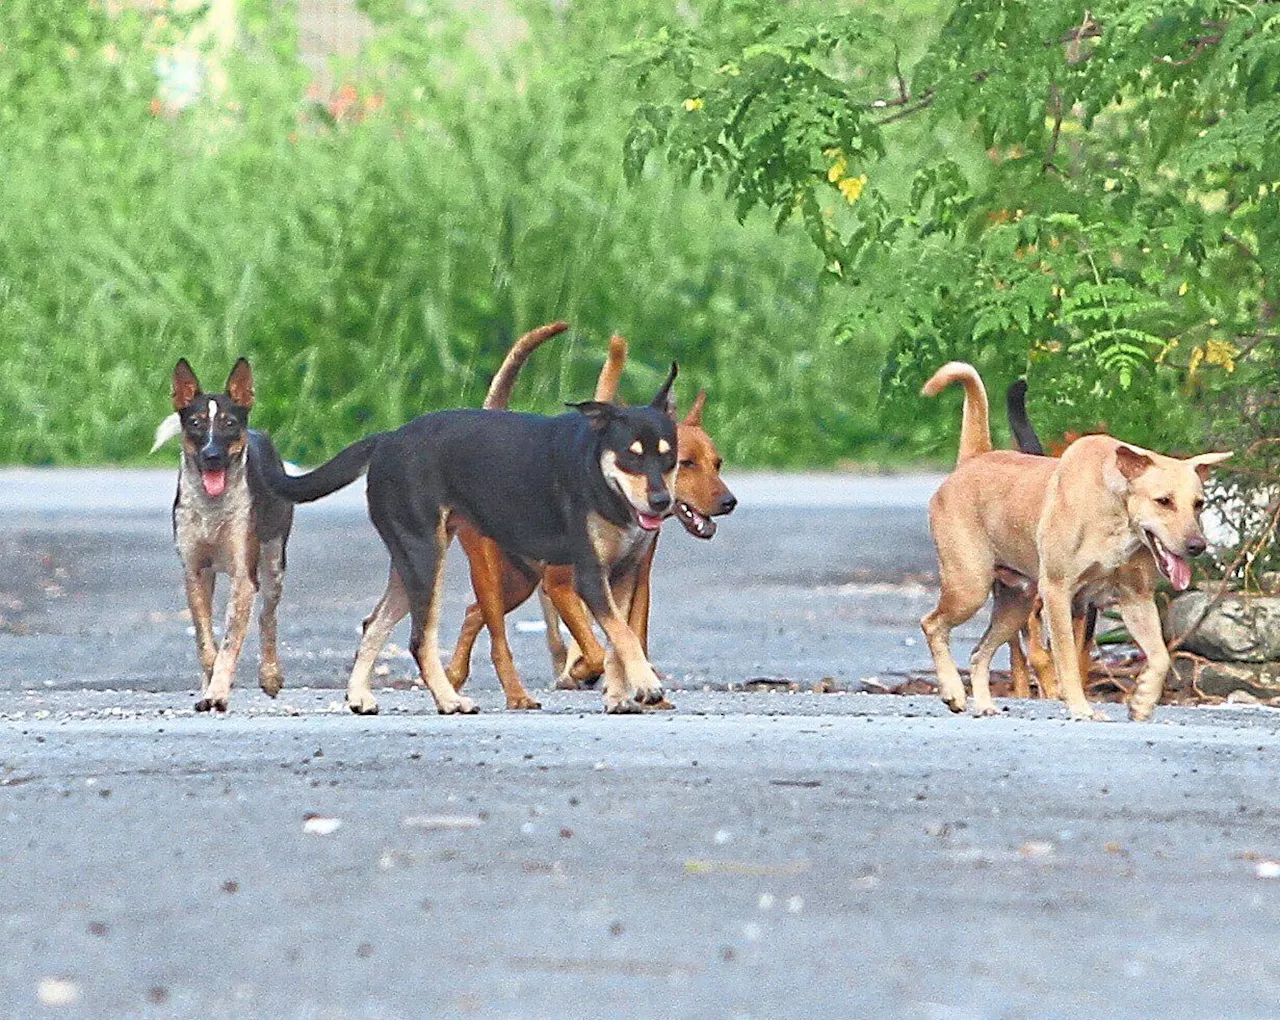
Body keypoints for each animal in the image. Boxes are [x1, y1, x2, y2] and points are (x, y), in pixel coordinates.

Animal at [162, 360, 293, 711]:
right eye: (195, 423)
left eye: (230, 423)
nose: (211, 456)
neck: (212, 510)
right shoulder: (194, 572)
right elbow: (205, 642)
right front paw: (208, 687)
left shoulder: (243, 576)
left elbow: (230, 642)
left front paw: (218, 692)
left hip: (274, 561)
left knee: (267, 617)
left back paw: (270, 675)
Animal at [253, 353, 686, 711]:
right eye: (631, 455)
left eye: (670, 457)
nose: (661, 501)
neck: (598, 472)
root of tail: (388, 438)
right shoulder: (590, 577)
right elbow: (624, 636)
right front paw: (646, 685)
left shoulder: (624, 573)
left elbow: (617, 640)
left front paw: (618, 697)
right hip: (427, 557)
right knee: (420, 639)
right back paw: (449, 701)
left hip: (409, 563)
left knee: (374, 623)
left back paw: (360, 696)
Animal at [921, 360, 1228, 721]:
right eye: (1163, 501)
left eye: (1199, 503)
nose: (1197, 546)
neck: (1114, 512)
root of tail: (973, 459)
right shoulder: (1057, 593)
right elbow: (1066, 659)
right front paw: (1081, 708)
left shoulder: (1135, 599)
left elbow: (1160, 655)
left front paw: (1142, 700)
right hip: (971, 585)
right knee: (933, 625)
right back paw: (953, 691)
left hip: (1016, 602)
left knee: (979, 652)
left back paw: (983, 703)